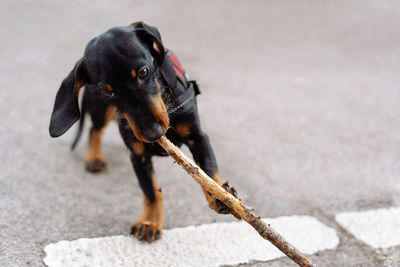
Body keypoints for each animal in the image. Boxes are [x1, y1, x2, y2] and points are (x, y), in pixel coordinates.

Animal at [48, 21, 239, 243]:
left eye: (144, 72)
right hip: (101, 111)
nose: (153, 133)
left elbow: (207, 168)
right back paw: (94, 157)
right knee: (93, 130)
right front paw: (149, 223)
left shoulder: (198, 137)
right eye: (107, 91)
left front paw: (220, 195)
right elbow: (151, 191)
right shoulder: (138, 155)